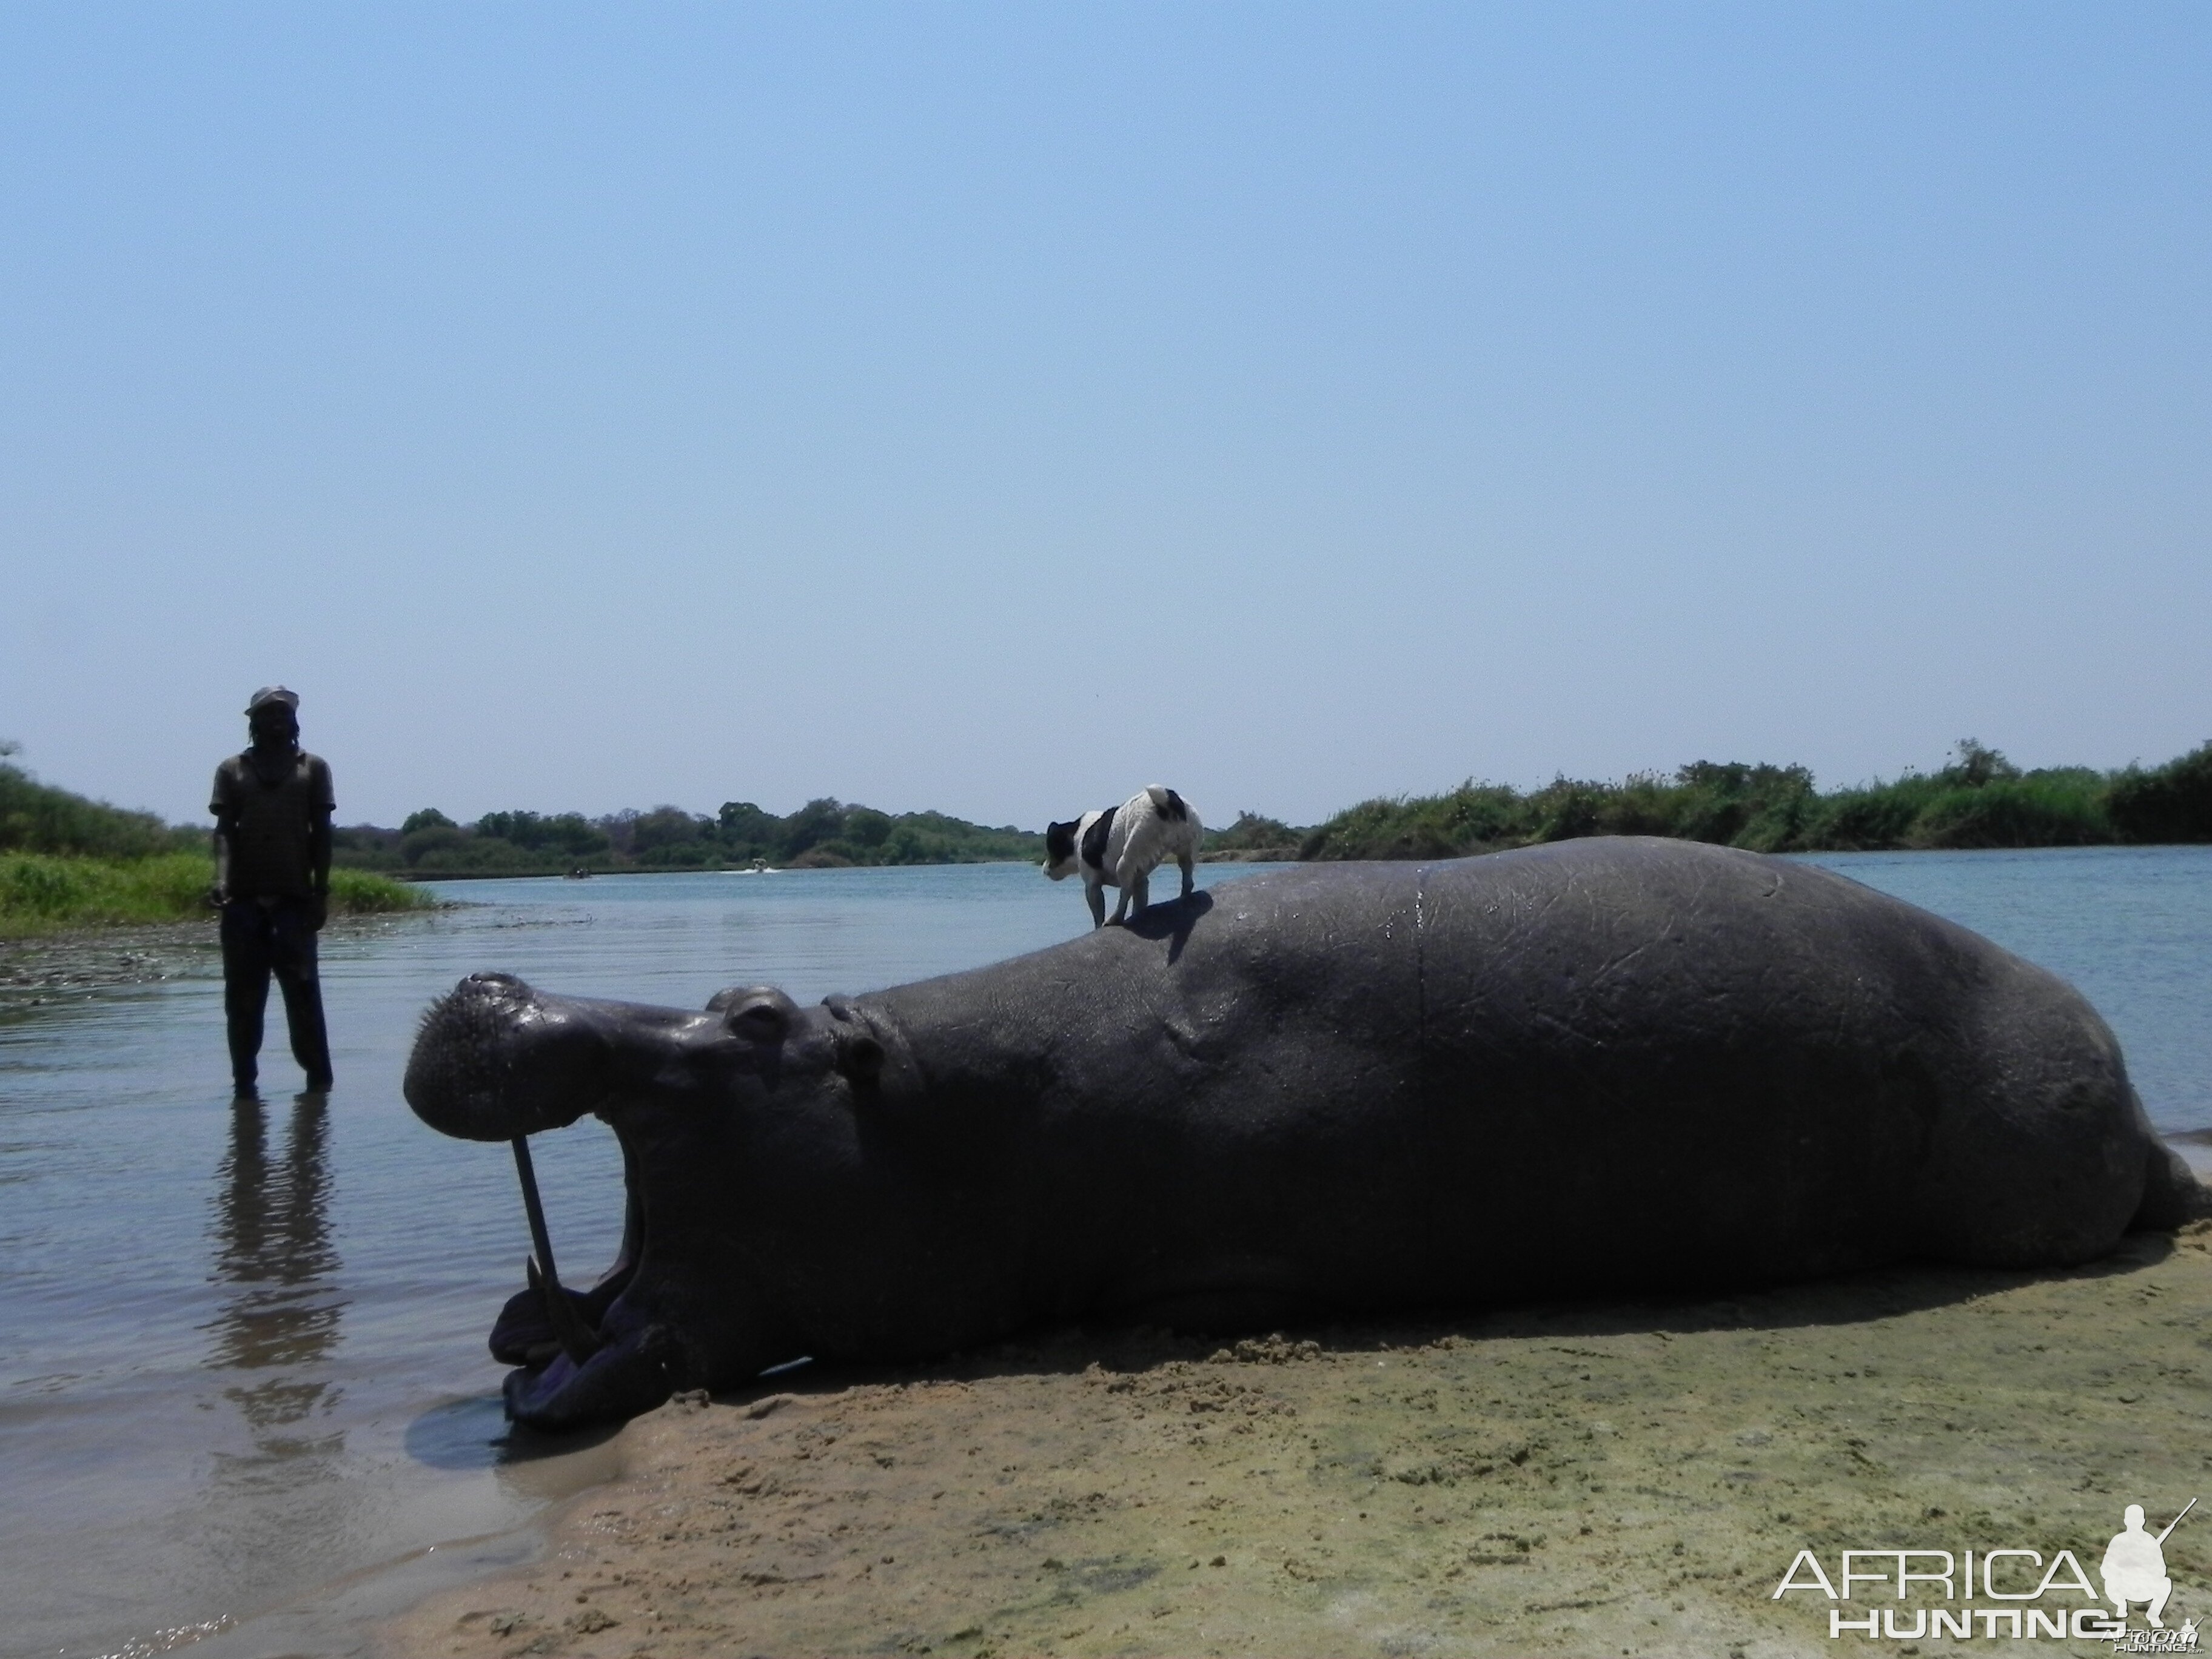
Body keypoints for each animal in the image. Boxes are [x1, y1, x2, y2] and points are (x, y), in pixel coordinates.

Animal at [1039, 787, 1203, 929]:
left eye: (1051, 849)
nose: (1044, 869)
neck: (1077, 835)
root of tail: (1169, 801)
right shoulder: (1141, 881)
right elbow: (1139, 903)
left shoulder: (1092, 886)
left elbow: (1098, 915)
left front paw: (1099, 926)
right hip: (1186, 853)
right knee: (1188, 879)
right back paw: (1183, 897)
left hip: (1126, 860)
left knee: (1125, 893)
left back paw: (1114, 919)